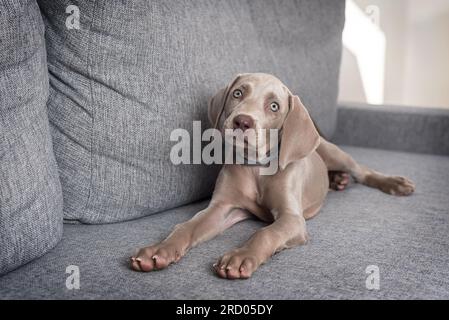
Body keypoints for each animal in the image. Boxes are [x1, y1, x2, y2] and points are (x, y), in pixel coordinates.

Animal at [129, 74, 412, 278]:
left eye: (274, 106)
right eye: (238, 93)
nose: (242, 121)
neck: (256, 168)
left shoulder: (292, 219)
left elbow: (266, 233)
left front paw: (241, 257)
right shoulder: (222, 208)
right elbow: (187, 226)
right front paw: (160, 250)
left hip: (333, 152)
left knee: (362, 171)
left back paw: (393, 183)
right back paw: (337, 180)